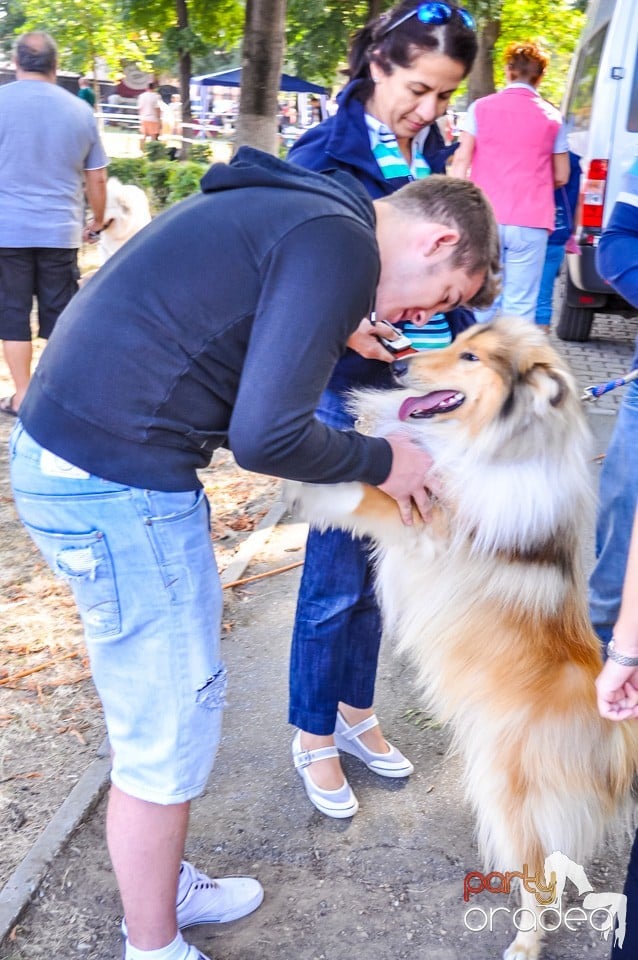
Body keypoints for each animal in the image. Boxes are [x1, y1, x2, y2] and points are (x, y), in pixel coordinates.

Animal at [294, 318, 638, 956]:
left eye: (473, 357)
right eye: (459, 339)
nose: (397, 366)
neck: (490, 440)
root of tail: (616, 733)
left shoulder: (426, 520)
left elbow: (364, 489)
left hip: (511, 795)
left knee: (541, 879)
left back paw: (524, 943)